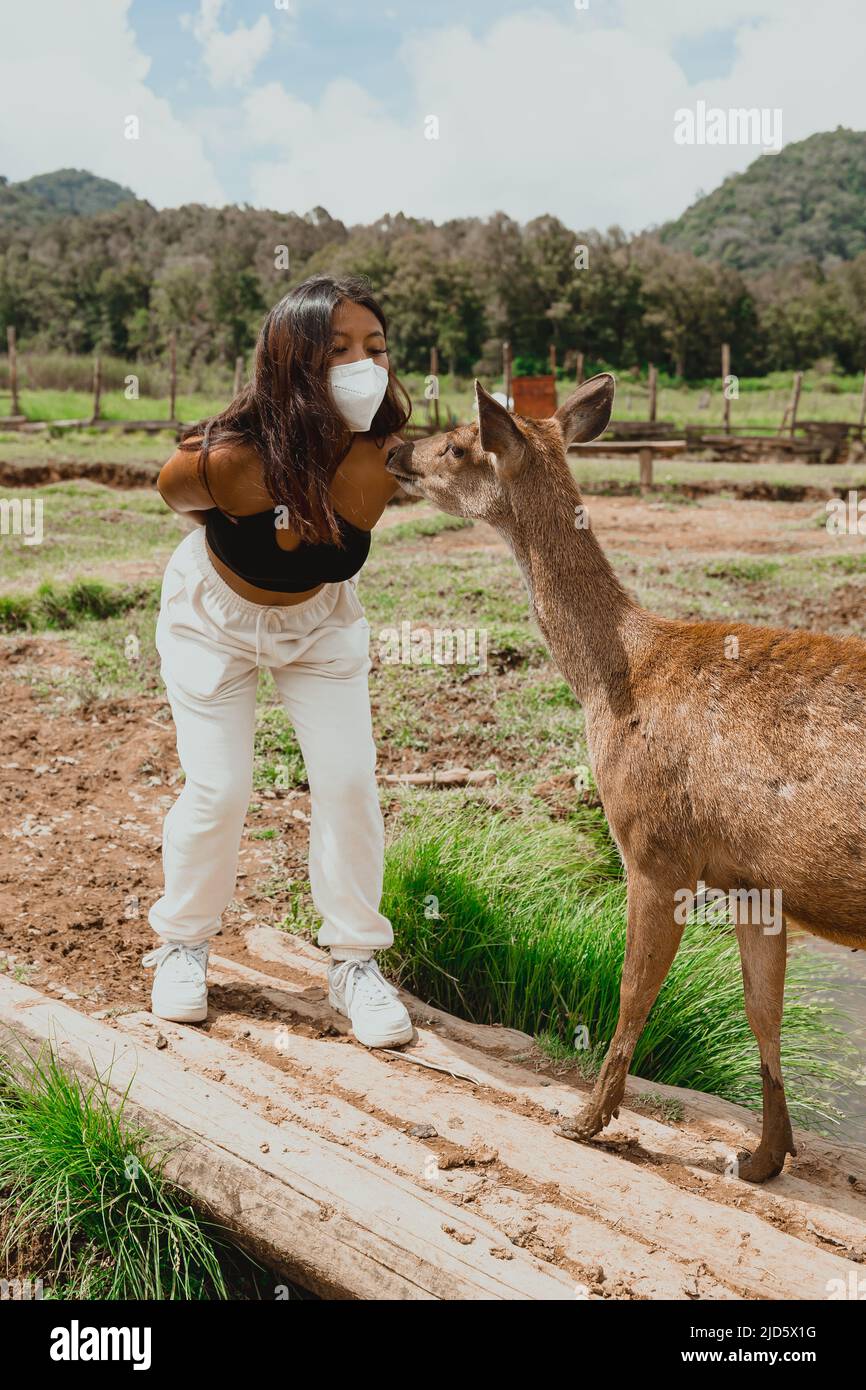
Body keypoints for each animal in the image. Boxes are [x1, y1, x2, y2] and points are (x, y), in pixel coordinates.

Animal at [389, 375, 866, 1178]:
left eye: (456, 444)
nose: (394, 450)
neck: (613, 682)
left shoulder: (653, 845)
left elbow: (634, 990)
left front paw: (586, 1119)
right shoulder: (752, 879)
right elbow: (761, 1011)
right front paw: (764, 1155)